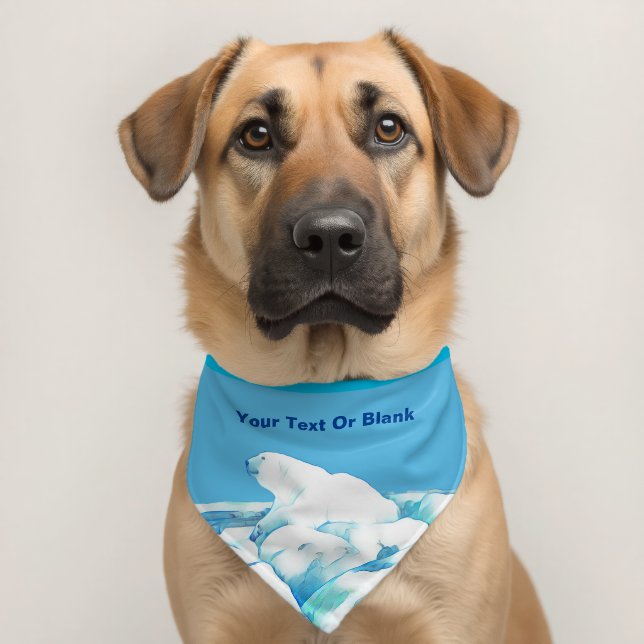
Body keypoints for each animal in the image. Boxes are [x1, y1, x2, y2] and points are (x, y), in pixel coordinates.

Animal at [245, 452, 400, 546]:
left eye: (263, 457)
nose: (246, 461)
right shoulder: (283, 497)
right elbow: (278, 507)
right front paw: (255, 531)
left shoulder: (314, 493)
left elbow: (301, 512)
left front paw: (263, 526)